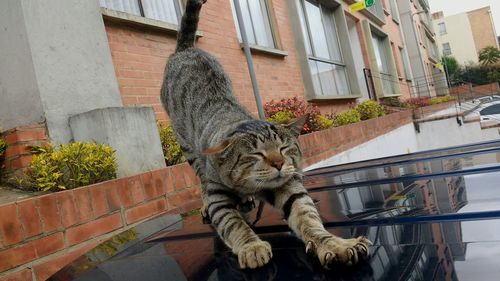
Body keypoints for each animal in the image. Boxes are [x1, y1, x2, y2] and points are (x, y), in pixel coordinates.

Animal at [162, 0, 370, 268]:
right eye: (257, 154)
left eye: (284, 148)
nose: (279, 163)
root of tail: (186, 50)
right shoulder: (219, 195)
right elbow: (233, 223)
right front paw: (251, 246)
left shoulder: (289, 187)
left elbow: (308, 218)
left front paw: (336, 244)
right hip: (188, 150)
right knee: (201, 180)